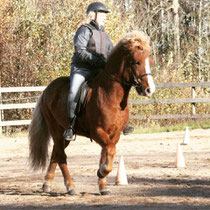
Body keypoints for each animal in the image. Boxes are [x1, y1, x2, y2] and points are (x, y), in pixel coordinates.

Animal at [28, 30, 155, 195]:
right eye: (136, 62)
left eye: (149, 62)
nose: (149, 90)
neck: (111, 95)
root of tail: (46, 91)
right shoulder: (97, 132)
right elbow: (110, 151)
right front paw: (102, 172)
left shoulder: (114, 134)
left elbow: (106, 154)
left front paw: (103, 185)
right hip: (55, 129)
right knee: (61, 156)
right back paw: (71, 187)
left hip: (63, 135)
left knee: (56, 153)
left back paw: (47, 184)